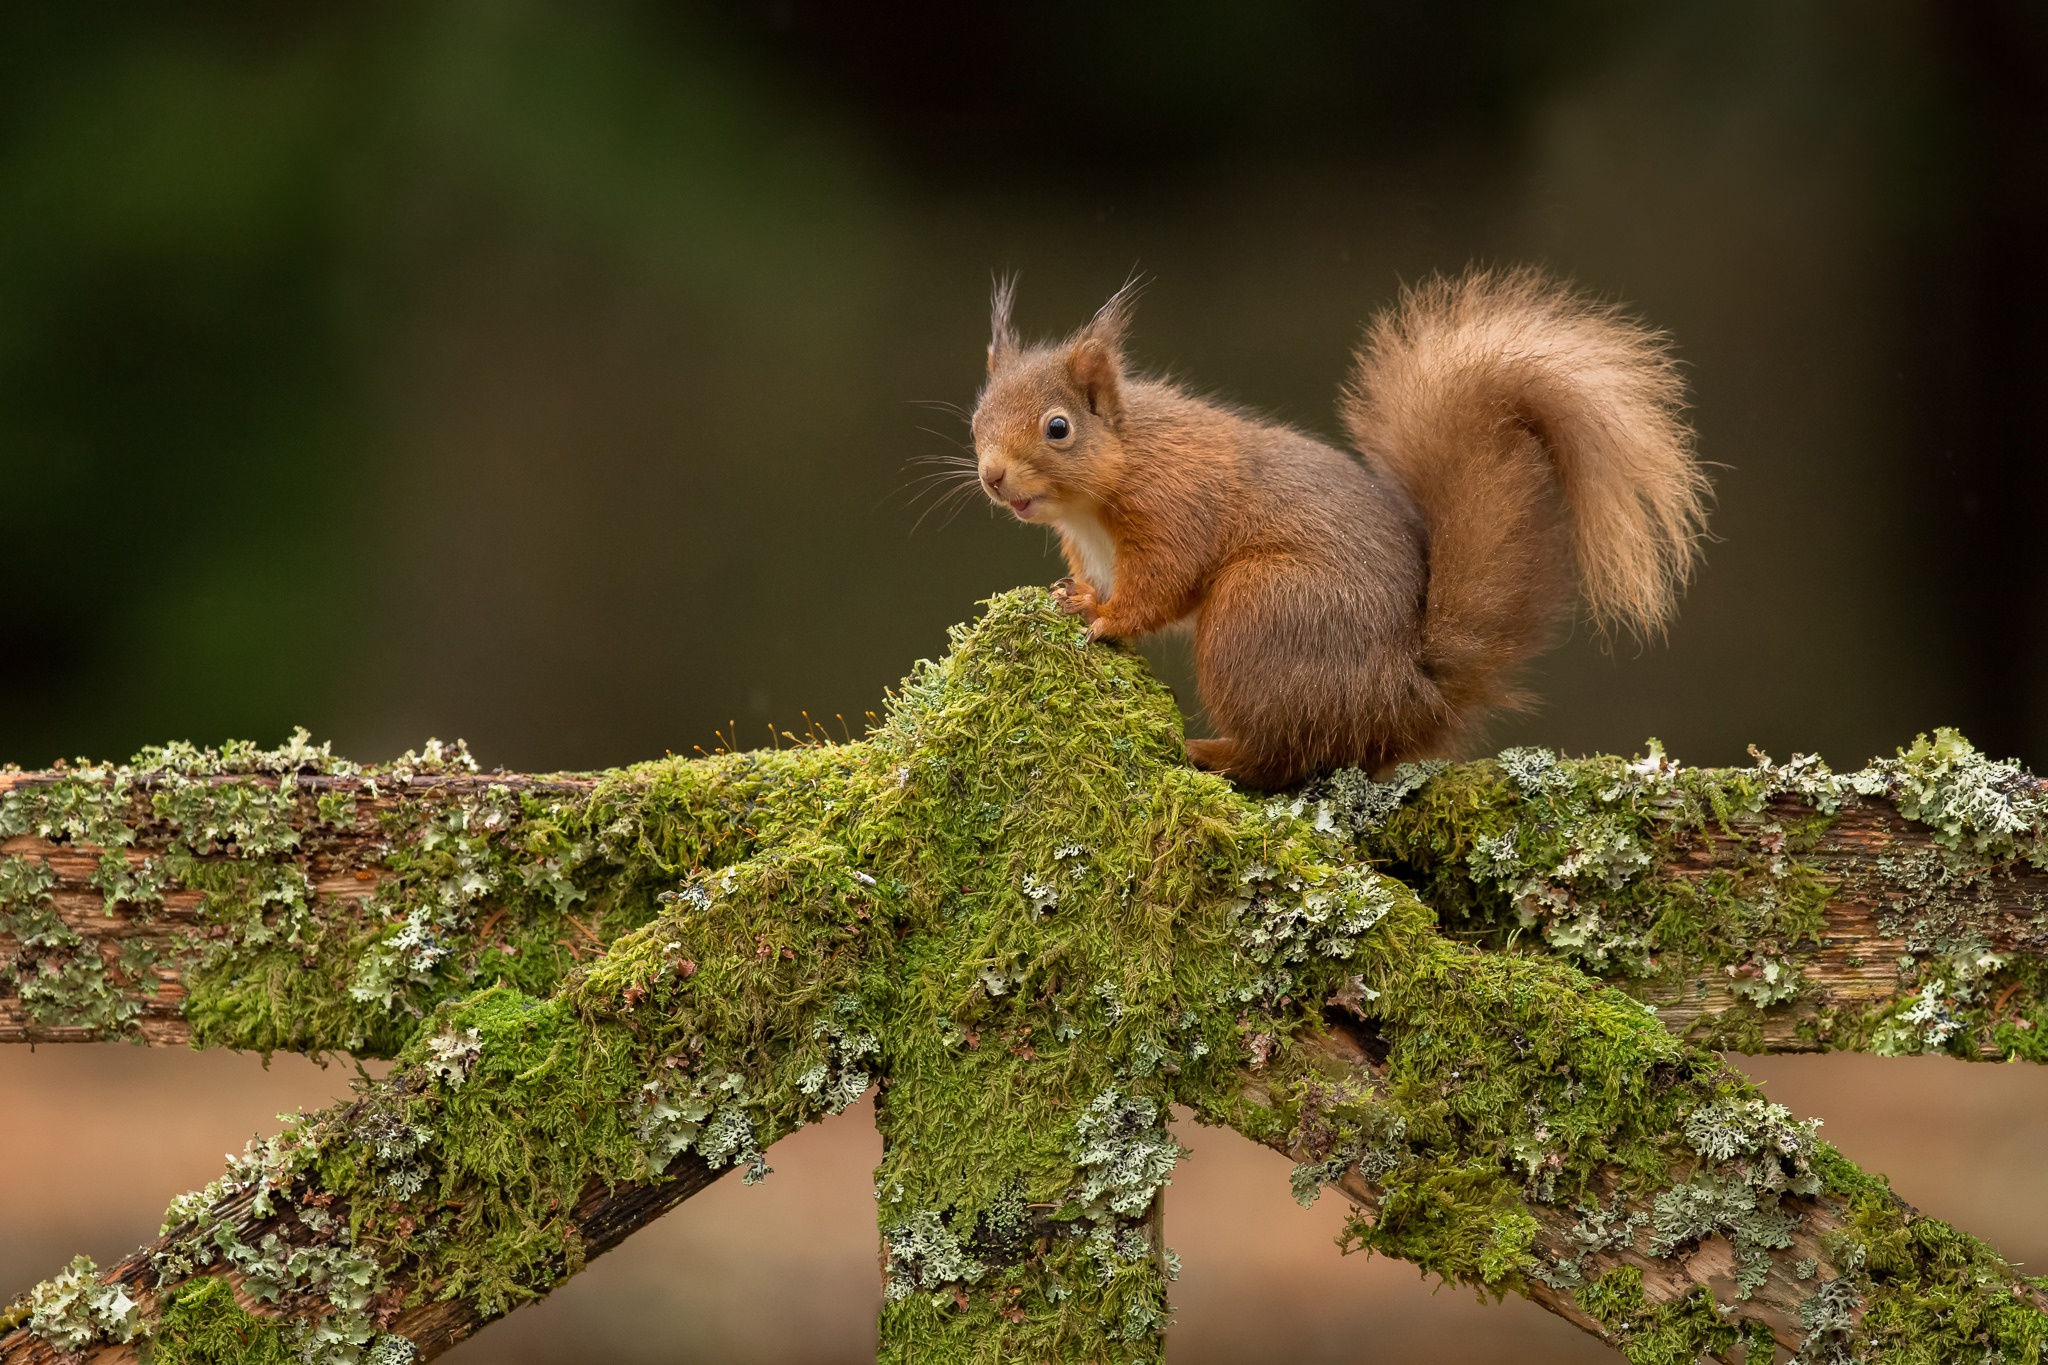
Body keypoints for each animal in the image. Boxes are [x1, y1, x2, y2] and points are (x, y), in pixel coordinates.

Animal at [966, 270, 1703, 789]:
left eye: (1058, 427)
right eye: (978, 416)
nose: (993, 476)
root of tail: (1409, 696)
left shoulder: (1176, 506)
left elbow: (1162, 585)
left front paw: (1107, 618)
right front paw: (1077, 595)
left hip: (1260, 612)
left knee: (1285, 758)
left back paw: (1209, 751)